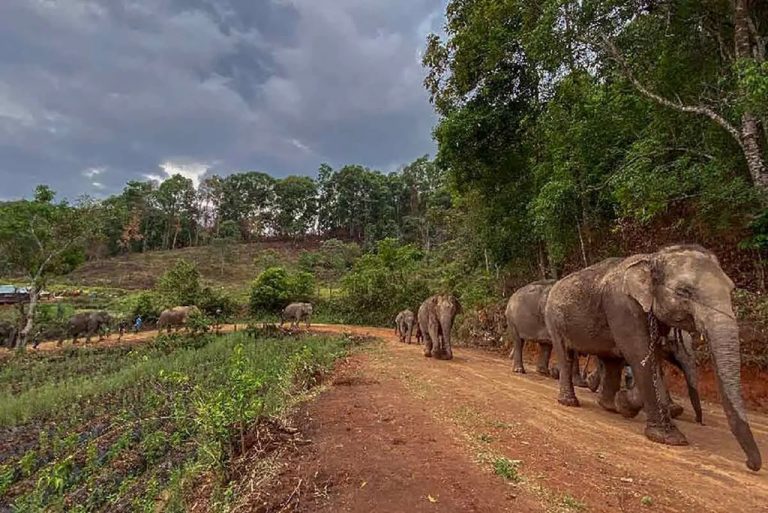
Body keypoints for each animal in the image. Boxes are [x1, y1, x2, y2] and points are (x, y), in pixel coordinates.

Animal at [544, 245, 761, 471]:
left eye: (731, 289)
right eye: (683, 291)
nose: (750, 464)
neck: (652, 258)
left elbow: (651, 359)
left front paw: (624, 404)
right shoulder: (622, 307)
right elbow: (640, 356)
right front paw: (670, 438)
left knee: (611, 362)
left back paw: (609, 407)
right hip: (553, 318)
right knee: (566, 355)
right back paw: (570, 402)